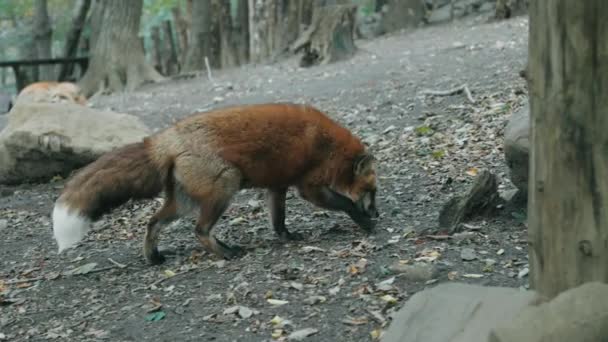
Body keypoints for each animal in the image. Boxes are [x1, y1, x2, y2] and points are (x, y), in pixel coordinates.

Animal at [52, 103, 378, 264]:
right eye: (371, 192)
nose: (378, 212)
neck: (329, 146)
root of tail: (163, 140)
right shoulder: (309, 187)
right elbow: (345, 203)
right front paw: (365, 222)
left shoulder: (277, 186)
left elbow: (278, 220)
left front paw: (287, 236)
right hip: (225, 185)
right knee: (199, 230)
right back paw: (226, 253)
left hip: (183, 202)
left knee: (153, 223)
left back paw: (154, 257)